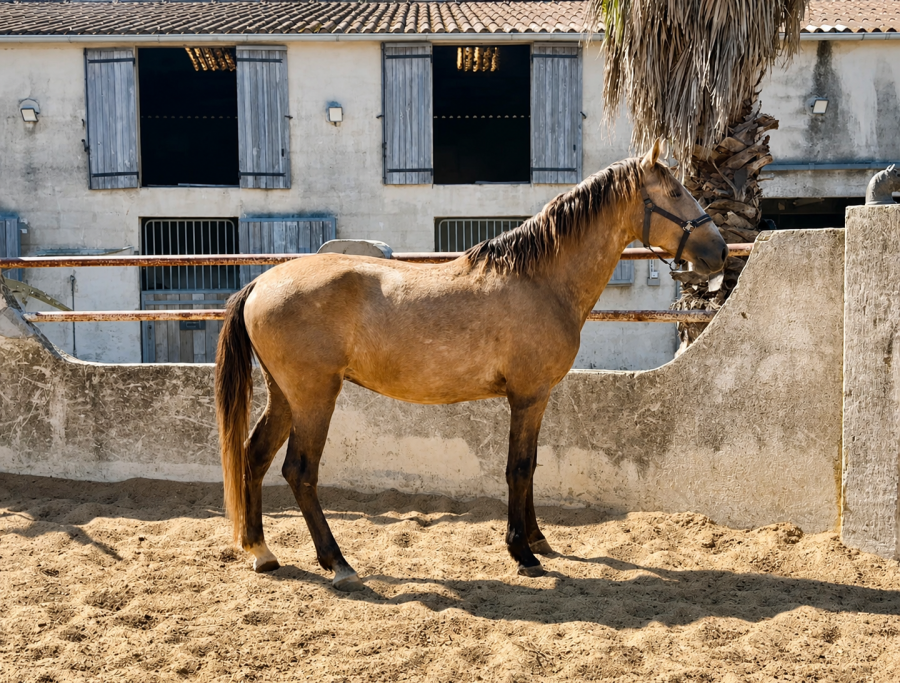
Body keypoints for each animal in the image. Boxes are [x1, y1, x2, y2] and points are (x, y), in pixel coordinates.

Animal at [214, 141, 727, 591]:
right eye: (676, 193)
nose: (719, 251)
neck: (540, 281)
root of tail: (261, 281)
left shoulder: (537, 399)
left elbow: (531, 465)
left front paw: (538, 538)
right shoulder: (527, 396)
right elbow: (517, 468)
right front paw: (523, 553)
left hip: (284, 395)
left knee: (254, 456)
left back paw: (262, 552)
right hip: (314, 396)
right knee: (299, 471)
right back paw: (339, 564)